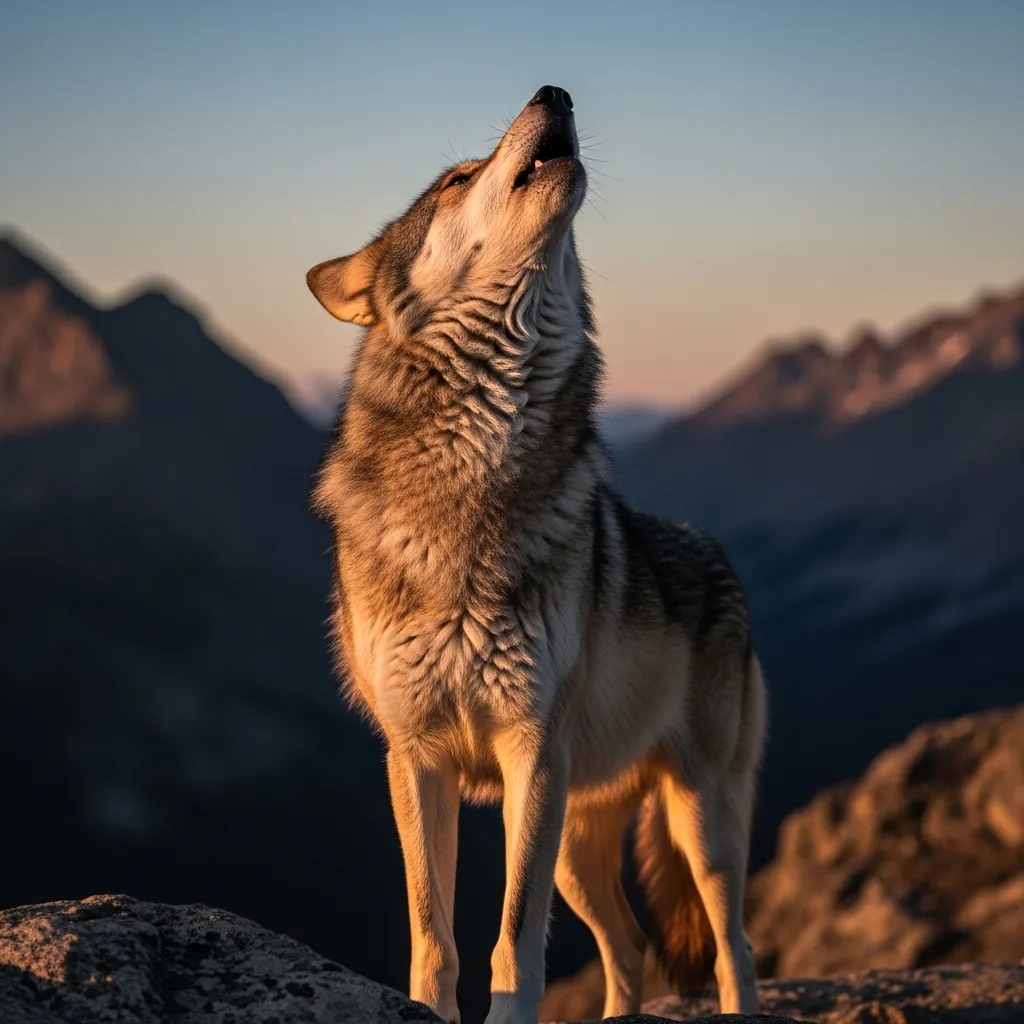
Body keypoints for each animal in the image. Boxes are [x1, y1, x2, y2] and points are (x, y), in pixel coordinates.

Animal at [306, 85, 766, 1024]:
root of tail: (717, 554)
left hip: (694, 822)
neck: (471, 468)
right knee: (629, 950)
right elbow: (433, 931)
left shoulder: (529, 751)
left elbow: (511, 939)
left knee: (735, 947)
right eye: (457, 178)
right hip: (576, 846)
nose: (554, 91)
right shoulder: (418, 758)